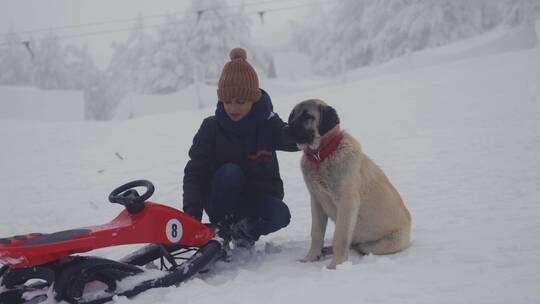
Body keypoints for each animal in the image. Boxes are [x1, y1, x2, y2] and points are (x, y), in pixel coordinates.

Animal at [286, 100, 410, 268]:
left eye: (307, 116)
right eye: (292, 115)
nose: (287, 128)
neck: (321, 156)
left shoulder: (347, 201)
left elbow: (340, 236)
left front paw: (336, 265)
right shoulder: (317, 201)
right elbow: (316, 232)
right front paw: (310, 258)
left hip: (378, 244)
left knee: (356, 245)